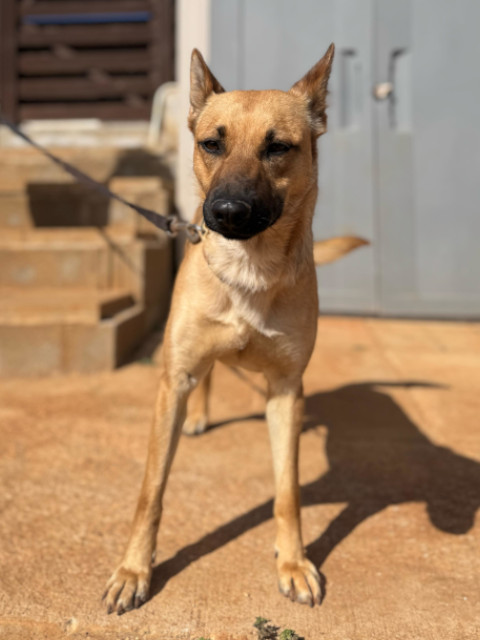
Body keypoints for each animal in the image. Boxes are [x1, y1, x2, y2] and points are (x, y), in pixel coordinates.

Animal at [103, 44, 366, 613]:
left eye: (278, 147)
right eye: (211, 143)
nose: (225, 212)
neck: (250, 271)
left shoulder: (287, 392)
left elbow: (288, 492)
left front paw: (293, 562)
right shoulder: (173, 382)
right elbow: (150, 492)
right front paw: (133, 570)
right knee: (208, 376)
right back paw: (200, 415)